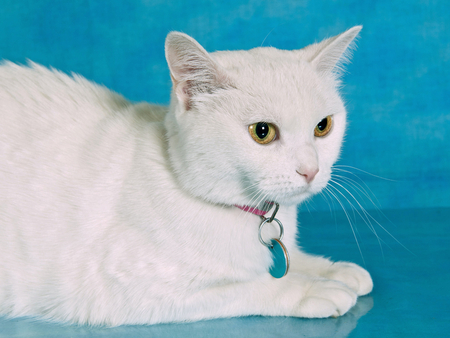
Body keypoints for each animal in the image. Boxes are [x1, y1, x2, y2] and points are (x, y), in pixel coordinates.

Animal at [0, 27, 372, 328]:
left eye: (323, 126)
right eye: (262, 132)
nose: (311, 170)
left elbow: (294, 258)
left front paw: (334, 269)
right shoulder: (125, 290)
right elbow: (247, 286)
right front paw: (309, 289)